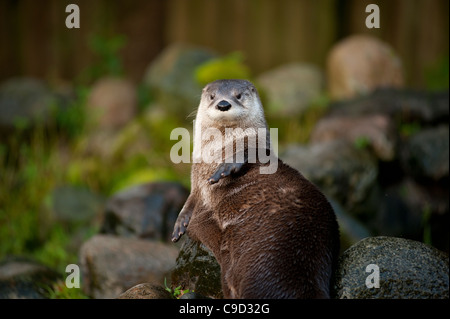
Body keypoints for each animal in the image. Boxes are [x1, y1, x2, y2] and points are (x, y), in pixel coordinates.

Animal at [171, 80, 338, 300]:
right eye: (212, 96)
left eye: (238, 95)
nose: (223, 104)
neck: (217, 153)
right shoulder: (196, 181)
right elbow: (190, 201)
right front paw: (180, 224)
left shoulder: (259, 150)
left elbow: (250, 152)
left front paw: (227, 167)